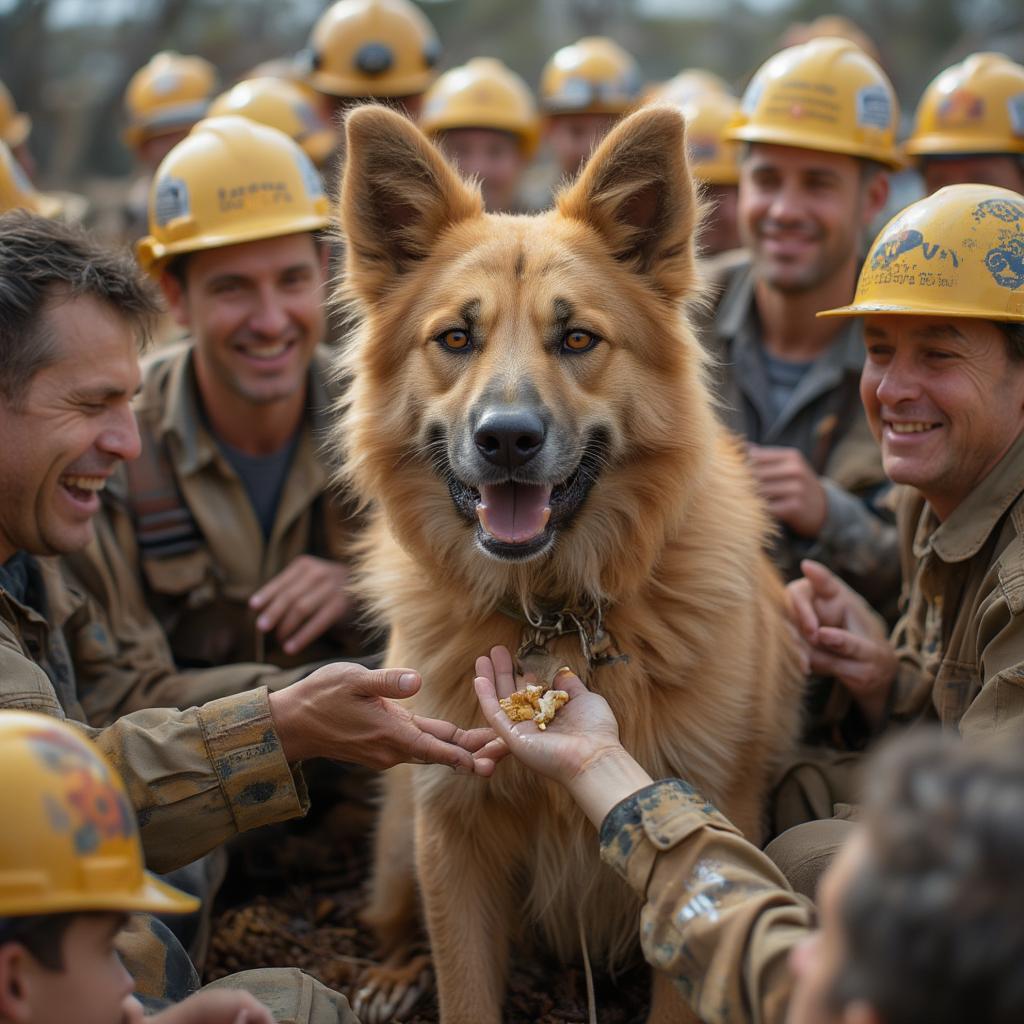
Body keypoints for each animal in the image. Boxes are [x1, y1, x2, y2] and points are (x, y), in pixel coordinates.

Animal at [335, 105, 806, 1024]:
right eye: (456, 337)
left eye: (578, 337)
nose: (507, 440)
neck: (551, 607)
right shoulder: (451, 829)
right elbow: (465, 986)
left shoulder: (702, 816)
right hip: (401, 834)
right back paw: (395, 973)